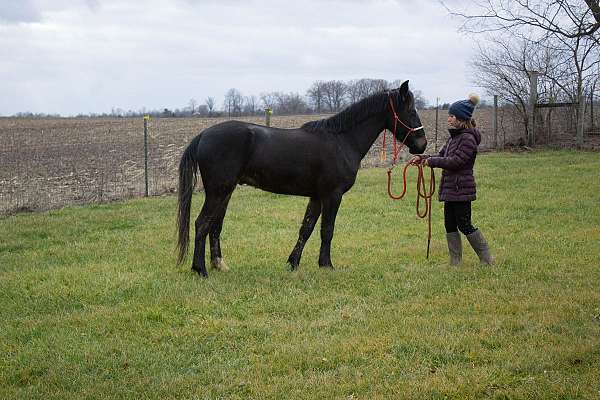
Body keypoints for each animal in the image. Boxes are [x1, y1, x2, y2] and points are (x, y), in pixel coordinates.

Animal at [177, 79, 426, 276]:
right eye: (411, 111)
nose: (422, 145)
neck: (342, 140)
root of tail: (203, 135)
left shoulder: (316, 197)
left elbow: (306, 229)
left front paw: (293, 263)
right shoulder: (332, 195)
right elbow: (327, 230)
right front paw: (326, 265)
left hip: (225, 191)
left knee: (215, 225)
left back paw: (218, 265)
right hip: (218, 191)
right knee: (202, 224)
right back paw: (200, 269)